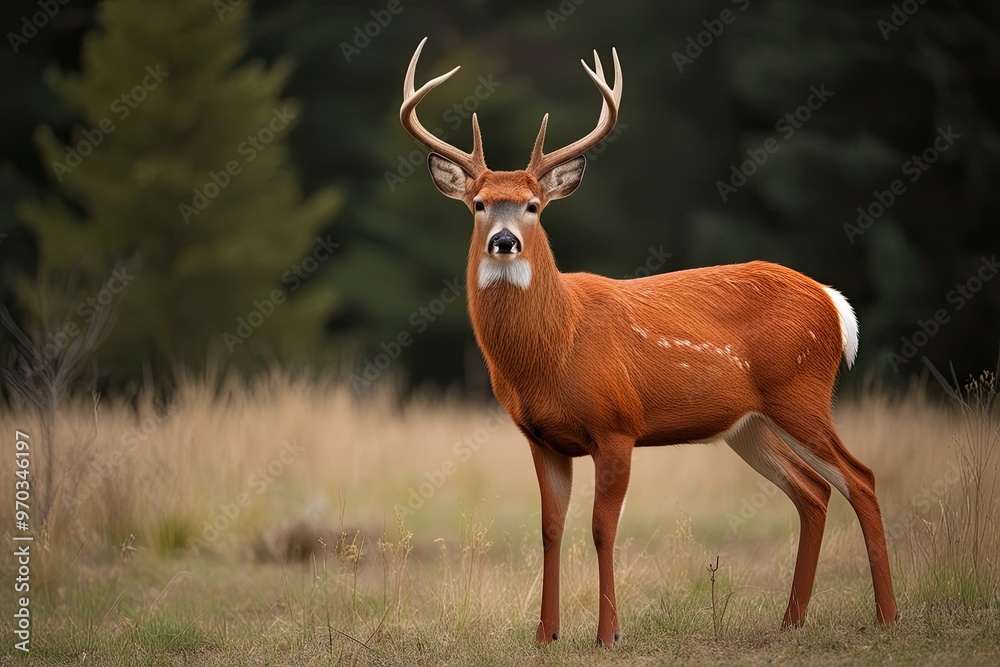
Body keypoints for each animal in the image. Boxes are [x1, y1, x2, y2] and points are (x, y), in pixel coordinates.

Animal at [399, 37, 897, 647]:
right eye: (478, 204)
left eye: (533, 206)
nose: (504, 241)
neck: (555, 345)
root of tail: (833, 302)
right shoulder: (541, 438)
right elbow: (550, 528)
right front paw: (546, 634)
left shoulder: (617, 425)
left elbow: (601, 529)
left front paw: (608, 633)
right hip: (750, 425)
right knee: (814, 492)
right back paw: (791, 620)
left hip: (800, 391)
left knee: (860, 478)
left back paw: (887, 615)